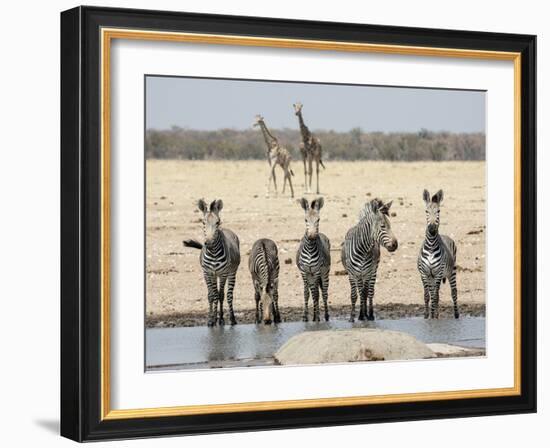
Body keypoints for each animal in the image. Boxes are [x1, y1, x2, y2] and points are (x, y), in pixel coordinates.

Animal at [420, 189, 460, 318]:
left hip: (452, 271)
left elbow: (434, 297)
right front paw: (427, 316)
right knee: (435, 294)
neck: (431, 245)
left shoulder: (438, 273)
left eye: (438, 211)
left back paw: (456, 315)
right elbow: (428, 296)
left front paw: (432, 316)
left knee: (453, 292)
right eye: (426, 211)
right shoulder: (424, 273)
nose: (432, 229)